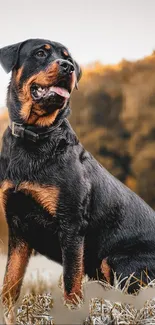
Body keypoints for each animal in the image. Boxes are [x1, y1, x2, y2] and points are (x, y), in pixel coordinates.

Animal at [0, 37, 155, 322]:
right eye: (40, 53)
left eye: (68, 58)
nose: (67, 67)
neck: (36, 136)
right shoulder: (17, 226)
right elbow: (10, 283)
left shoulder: (71, 224)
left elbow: (71, 282)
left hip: (117, 260)